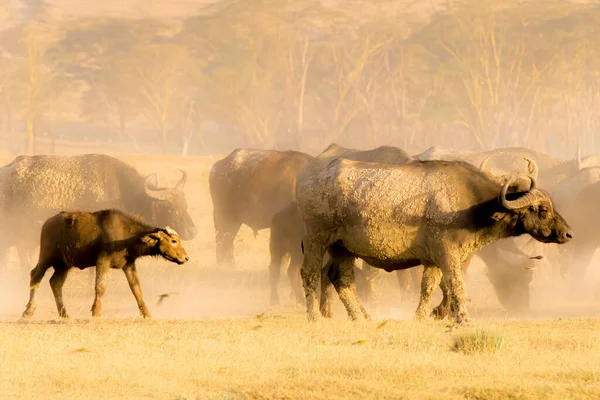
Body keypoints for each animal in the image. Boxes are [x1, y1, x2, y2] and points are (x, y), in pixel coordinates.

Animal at [22, 209, 189, 318]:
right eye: (174, 241)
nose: (186, 258)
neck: (126, 234)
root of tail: (47, 223)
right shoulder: (103, 261)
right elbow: (100, 286)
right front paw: (96, 311)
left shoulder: (129, 265)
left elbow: (136, 289)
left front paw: (146, 314)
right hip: (46, 257)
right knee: (35, 277)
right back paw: (28, 311)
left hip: (64, 265)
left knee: (55, 283)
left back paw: (64, 314)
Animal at [296, 158, 572, 324]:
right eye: (542, 209)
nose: (568, 233)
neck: (472, 204)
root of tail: (308, 181)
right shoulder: (447, 253)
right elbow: (456, 286)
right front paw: (463, 319)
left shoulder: (434, 259)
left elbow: (430, 286)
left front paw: (423, 316)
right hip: (315, 240)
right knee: (310, 274)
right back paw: (315, 317)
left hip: (342, 248)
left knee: (342, 281)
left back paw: (361, 317)